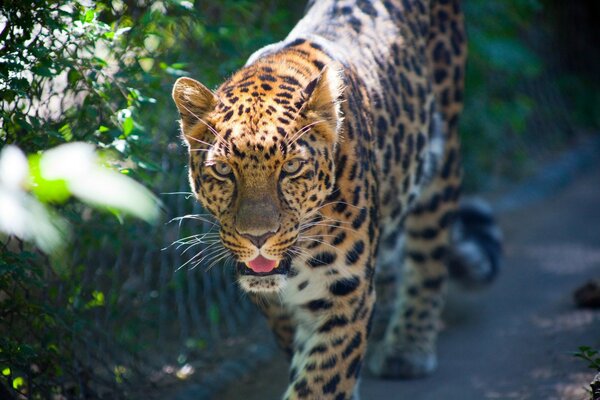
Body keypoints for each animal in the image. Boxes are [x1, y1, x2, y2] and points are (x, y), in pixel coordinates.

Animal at [170, 1, 502, 398]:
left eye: (292, 167)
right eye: (222, 170)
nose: (257, 237)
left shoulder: (345, 289)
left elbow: (322, 378)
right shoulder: (275, 303)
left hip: (442, 156)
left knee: (428, 253)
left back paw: (408, 347)